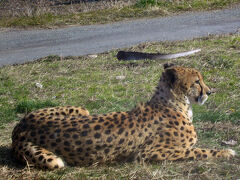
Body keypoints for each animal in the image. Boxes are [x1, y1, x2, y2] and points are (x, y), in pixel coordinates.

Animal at [11, 64, 234, 169]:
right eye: (196, 81)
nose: (210, 91)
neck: (173, 103)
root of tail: (21, 125)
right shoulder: (149, 153)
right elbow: (197, 151)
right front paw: (226, 152)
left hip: (83, 110)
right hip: (55, 161)